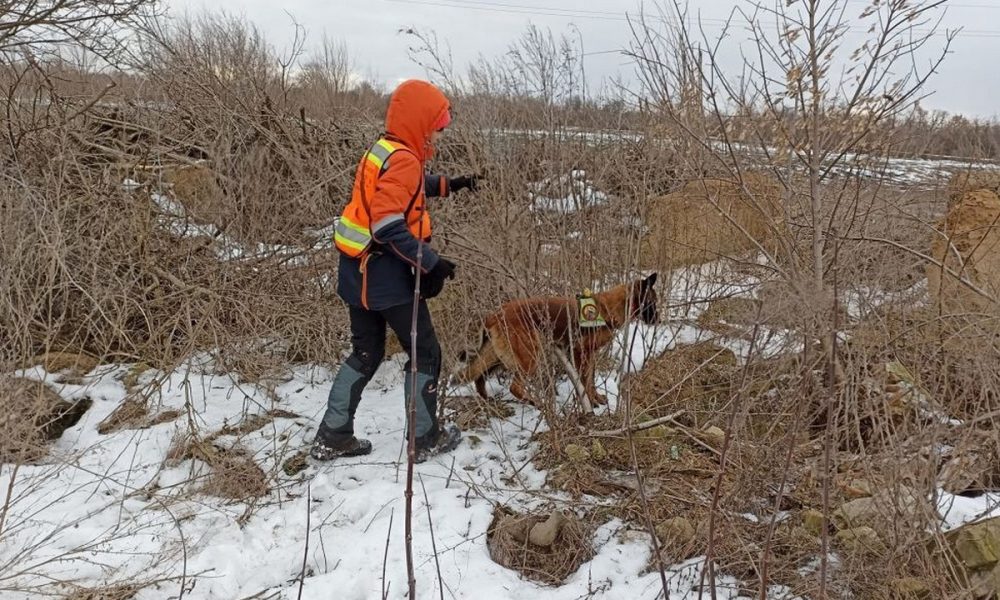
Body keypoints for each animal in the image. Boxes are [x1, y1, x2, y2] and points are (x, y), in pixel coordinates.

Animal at [458, 274, 660, 410]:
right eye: (653, 302)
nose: (658, 319)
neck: (607, 309)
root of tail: (496, 314)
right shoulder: (580, 353)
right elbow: (585, 381)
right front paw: (590, 401)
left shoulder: (589, 355)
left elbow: (591, 379)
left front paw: (595, 398)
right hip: (530, 355)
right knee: (514, 386)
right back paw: (535, 402)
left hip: (498, 356)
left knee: (478, 376)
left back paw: (487, 400)